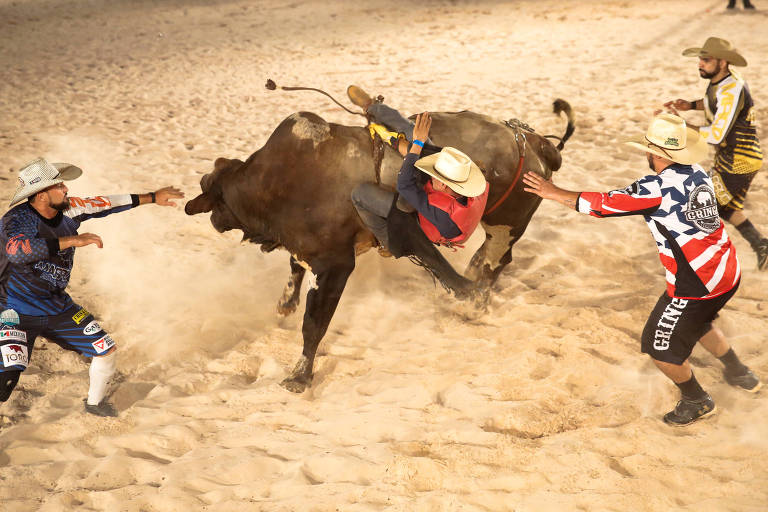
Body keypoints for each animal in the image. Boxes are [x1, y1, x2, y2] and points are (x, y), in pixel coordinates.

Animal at [184, 103, 568, 392]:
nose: (210, 218)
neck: (280, 181)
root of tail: (532, 141)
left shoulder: (336, 265)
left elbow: (314, 323)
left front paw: (299, 376)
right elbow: (295, 267)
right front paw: (285, 302)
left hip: (505, 225)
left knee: (495, 261)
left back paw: (471, 300)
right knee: (485, 259)